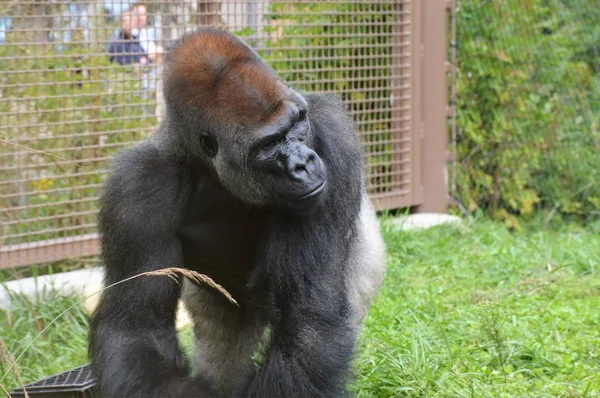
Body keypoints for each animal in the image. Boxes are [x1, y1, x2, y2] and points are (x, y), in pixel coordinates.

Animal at [91, 28, 386, 398]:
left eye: (297, 124)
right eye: (268, 145)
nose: (304, 163)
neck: (208, 167)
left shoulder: (331, 135)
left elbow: (307, 317)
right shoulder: (134, 189)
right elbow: (135, 329)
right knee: (222, 348)